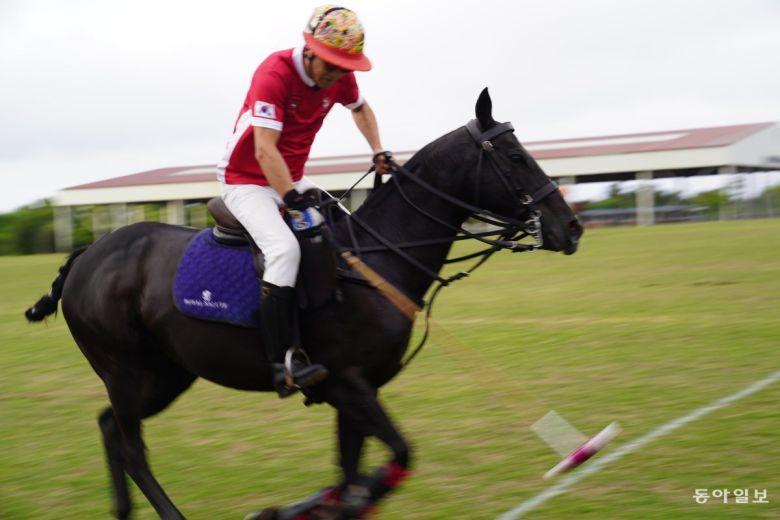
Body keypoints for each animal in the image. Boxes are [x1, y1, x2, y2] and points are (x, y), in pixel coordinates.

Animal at [25, 89, 582, 519]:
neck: (377, 256)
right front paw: (303, 506)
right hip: (123, 366)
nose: (571, 226)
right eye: (515, 157)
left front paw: (324, 502)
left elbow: (354, 470)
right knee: (133, 447)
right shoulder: (348, 383)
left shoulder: (357, 392)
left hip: (168, 371)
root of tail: (86, 254)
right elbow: (394, 457)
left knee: (110, 429)